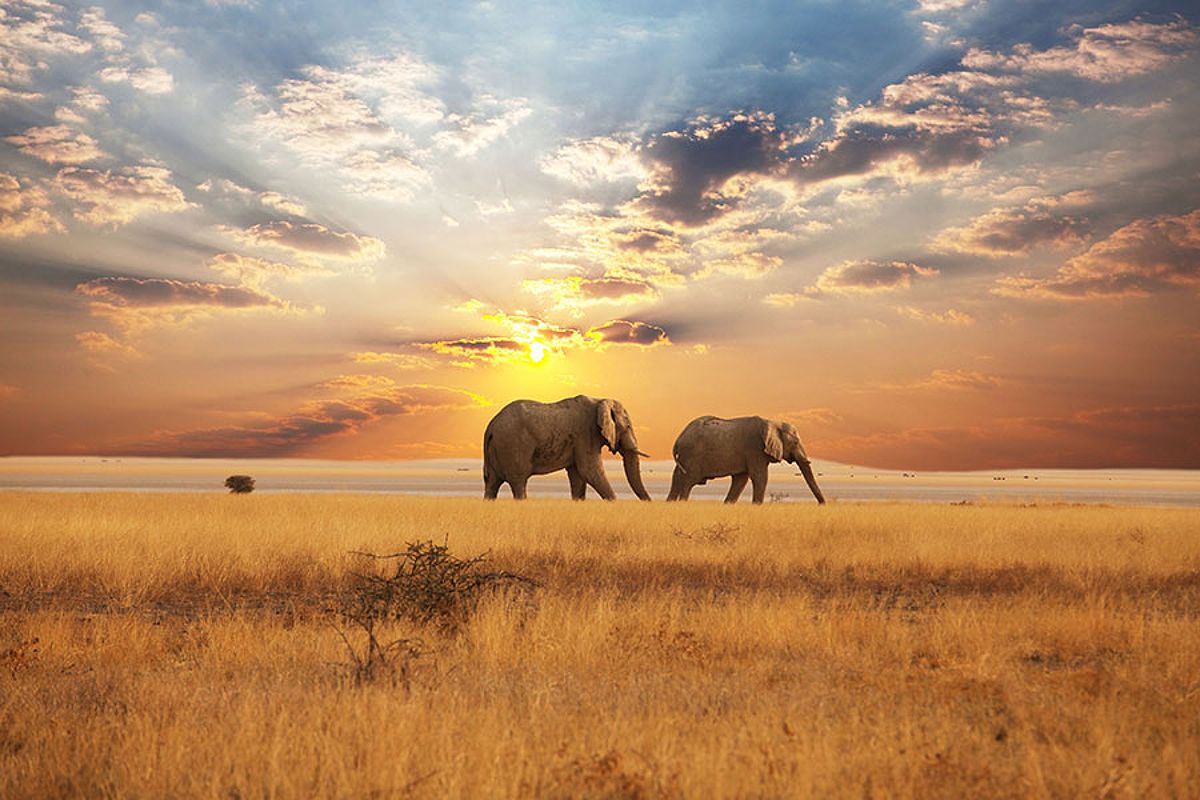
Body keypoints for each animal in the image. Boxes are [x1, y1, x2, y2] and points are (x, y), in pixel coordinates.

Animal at [480, 395, 652, 501]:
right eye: (627, 426)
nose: (650, 503)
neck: (600, 400)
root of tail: (491, 426)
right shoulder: (586, 434)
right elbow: (590, 471)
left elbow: (578, 476)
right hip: (513, 446)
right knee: (518, 482)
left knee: (492, 484)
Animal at [667, 417, 825, 503]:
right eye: (796, 442)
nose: (822, 505)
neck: (773, 422)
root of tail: (678, 439)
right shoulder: (754, 450)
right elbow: (760, 477)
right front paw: (757, 506)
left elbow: (741, 479)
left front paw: (728, 505)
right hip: (691, 456)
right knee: (688, 482)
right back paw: (682, 503)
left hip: (684, 457)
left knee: (677, 478)